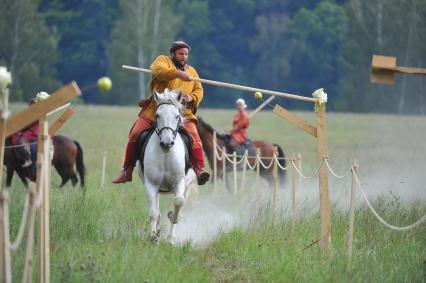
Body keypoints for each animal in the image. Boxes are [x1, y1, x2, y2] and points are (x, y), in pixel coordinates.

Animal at [140, 89, 198, 244]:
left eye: (177, 116)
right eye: (157, 115)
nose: (167, 143)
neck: (166, 154)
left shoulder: (179, 182)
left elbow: (178, 202)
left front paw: (170, 238)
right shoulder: (151, 184)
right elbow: (154, 213)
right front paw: (153, 238)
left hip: (188, 184)